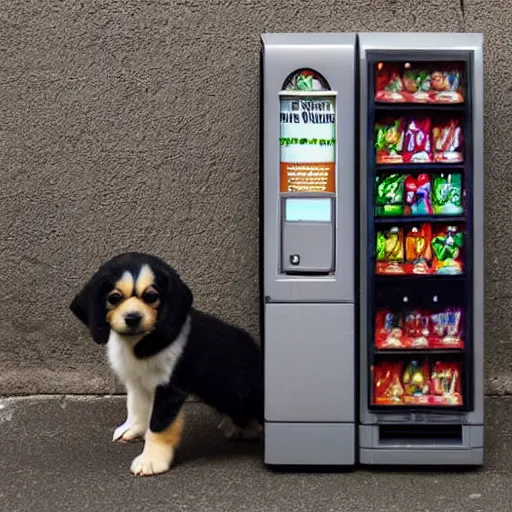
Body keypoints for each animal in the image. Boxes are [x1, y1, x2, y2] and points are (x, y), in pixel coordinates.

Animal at [70, 252, 262, 476]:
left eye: (151, 296)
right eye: (114, 298)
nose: (132, 318)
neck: (139, 342)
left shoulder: (170, 389)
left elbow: (159, 426)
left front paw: (151, 460)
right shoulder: (135, 382)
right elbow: (135, 405)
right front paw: (133, 428)